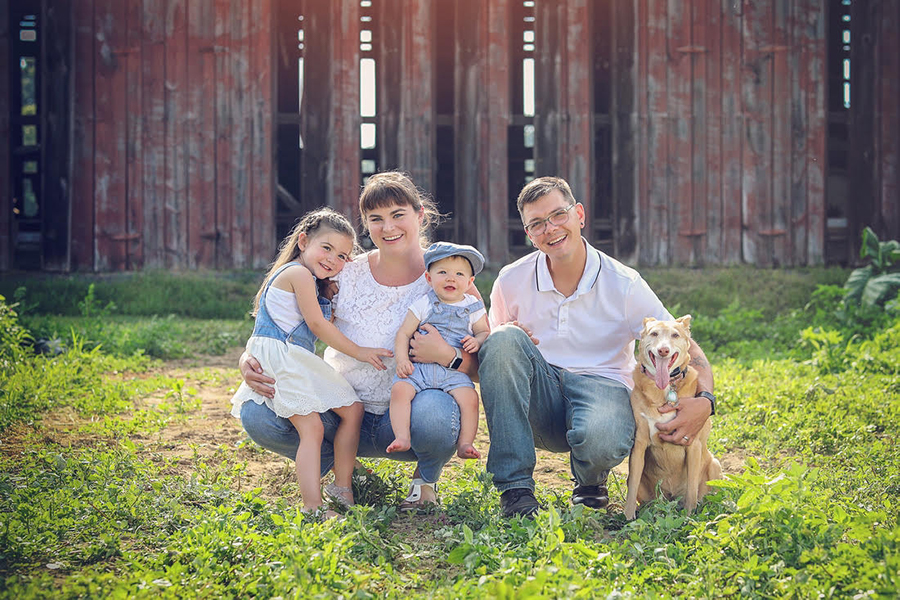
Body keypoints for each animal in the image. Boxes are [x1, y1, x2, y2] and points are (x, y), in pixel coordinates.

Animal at [624, 314, 724, 520]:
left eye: (675, 335)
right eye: (654, 333)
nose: (663, 350)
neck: (664, 389)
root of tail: (670, 498)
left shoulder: (693, 445)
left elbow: (692, 489)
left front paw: (689, 518)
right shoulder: (639, 445)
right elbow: (632, 488)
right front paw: (627, 518)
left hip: (714, 466)